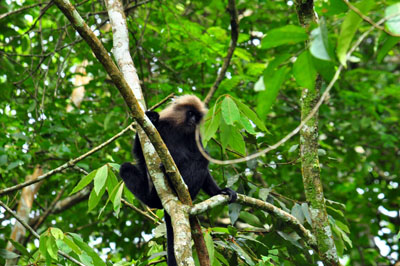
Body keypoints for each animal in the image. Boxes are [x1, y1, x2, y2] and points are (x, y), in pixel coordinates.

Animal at [119, 95, 238, 266]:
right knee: (125, 167)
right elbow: (140, 152)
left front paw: (221, 191)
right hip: (150, 194)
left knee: (201, 159)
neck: (180, 129)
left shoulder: (195, 137)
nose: (194, 121)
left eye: (197, 116)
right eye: (190, 113)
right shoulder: (162, 127)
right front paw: (151, 117)